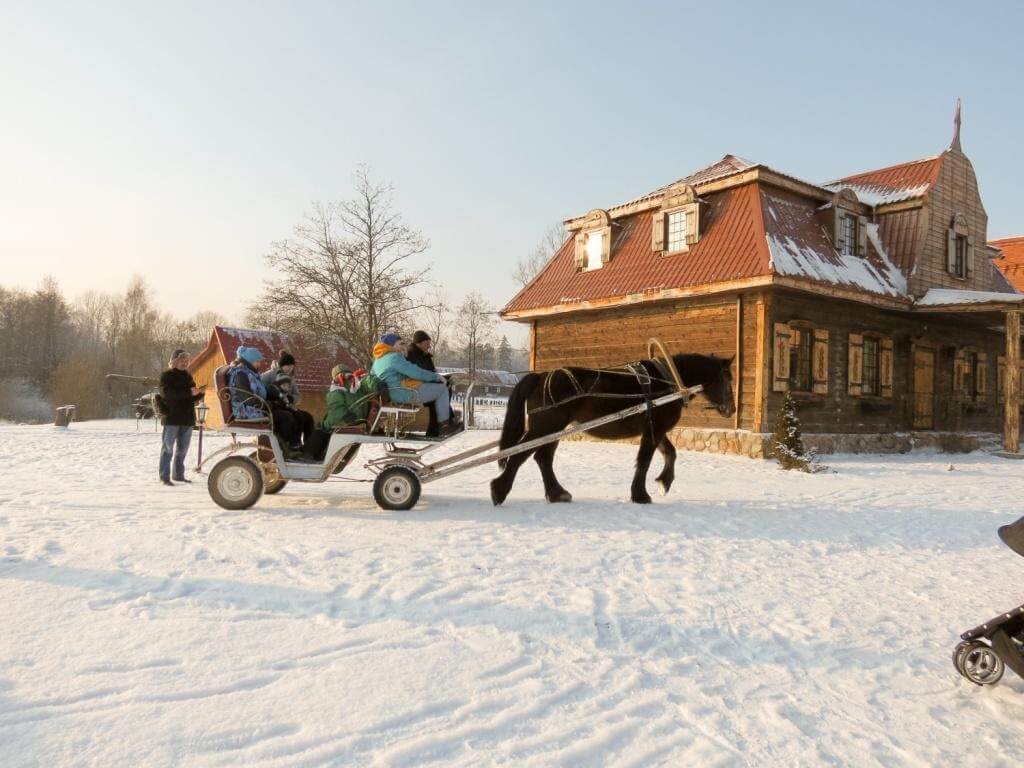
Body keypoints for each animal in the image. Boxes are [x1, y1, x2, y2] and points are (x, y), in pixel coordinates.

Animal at [489, 358, 737, 507]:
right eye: (727, 379)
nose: (731, 409)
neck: (668, 380)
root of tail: (541, 376)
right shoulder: (654, 429)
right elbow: (645, 461)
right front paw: (641, 495)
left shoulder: (655, 428)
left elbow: (671, 453)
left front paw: (663, 482)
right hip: (546, 426)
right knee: (520, 455)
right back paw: (499, 490)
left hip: (554, 428)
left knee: (543, 458)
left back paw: (557, 493)